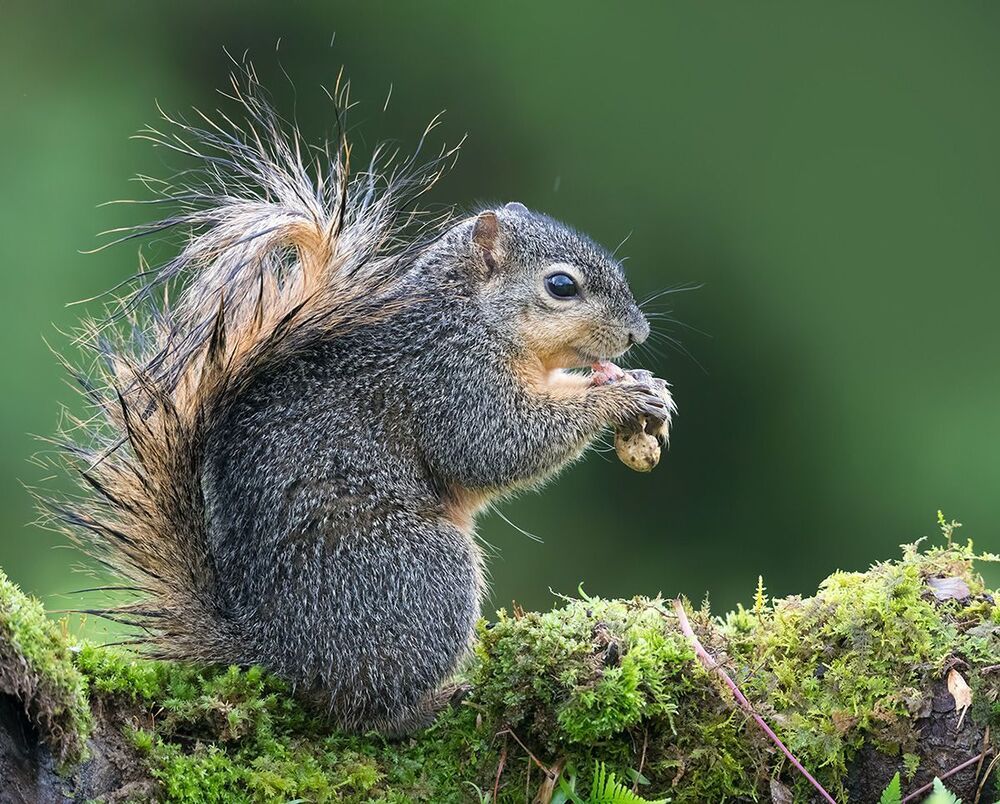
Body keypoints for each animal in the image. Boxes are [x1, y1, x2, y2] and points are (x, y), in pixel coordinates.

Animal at [49, 72, 674, 735]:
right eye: (561, 285)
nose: (636, 332)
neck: (470, 314)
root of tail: (276, 657)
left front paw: (646, 388)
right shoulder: (447, 377)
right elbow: (495, 445)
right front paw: (619, 396)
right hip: (422, 575)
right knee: (366, 712)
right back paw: (430, 706)